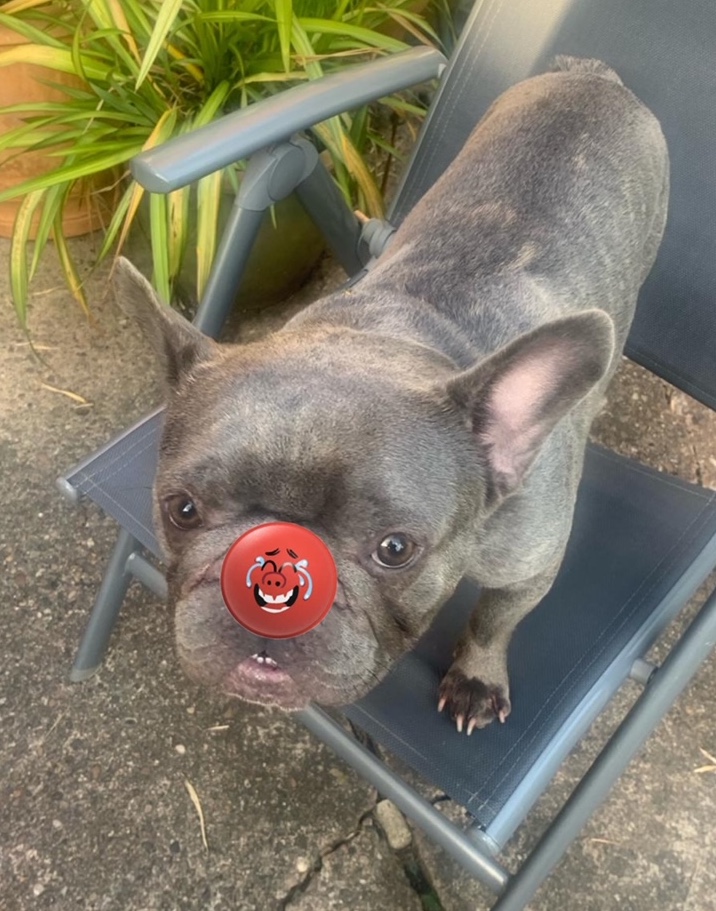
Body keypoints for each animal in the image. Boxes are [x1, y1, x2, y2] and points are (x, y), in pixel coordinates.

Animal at [114, 57, 668, 736]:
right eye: (183, 510)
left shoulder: (532, 564)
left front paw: (477, 677)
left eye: (396, 550)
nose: (269, 576)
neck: (396, 337)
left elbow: (494, 621)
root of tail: (594, 75)